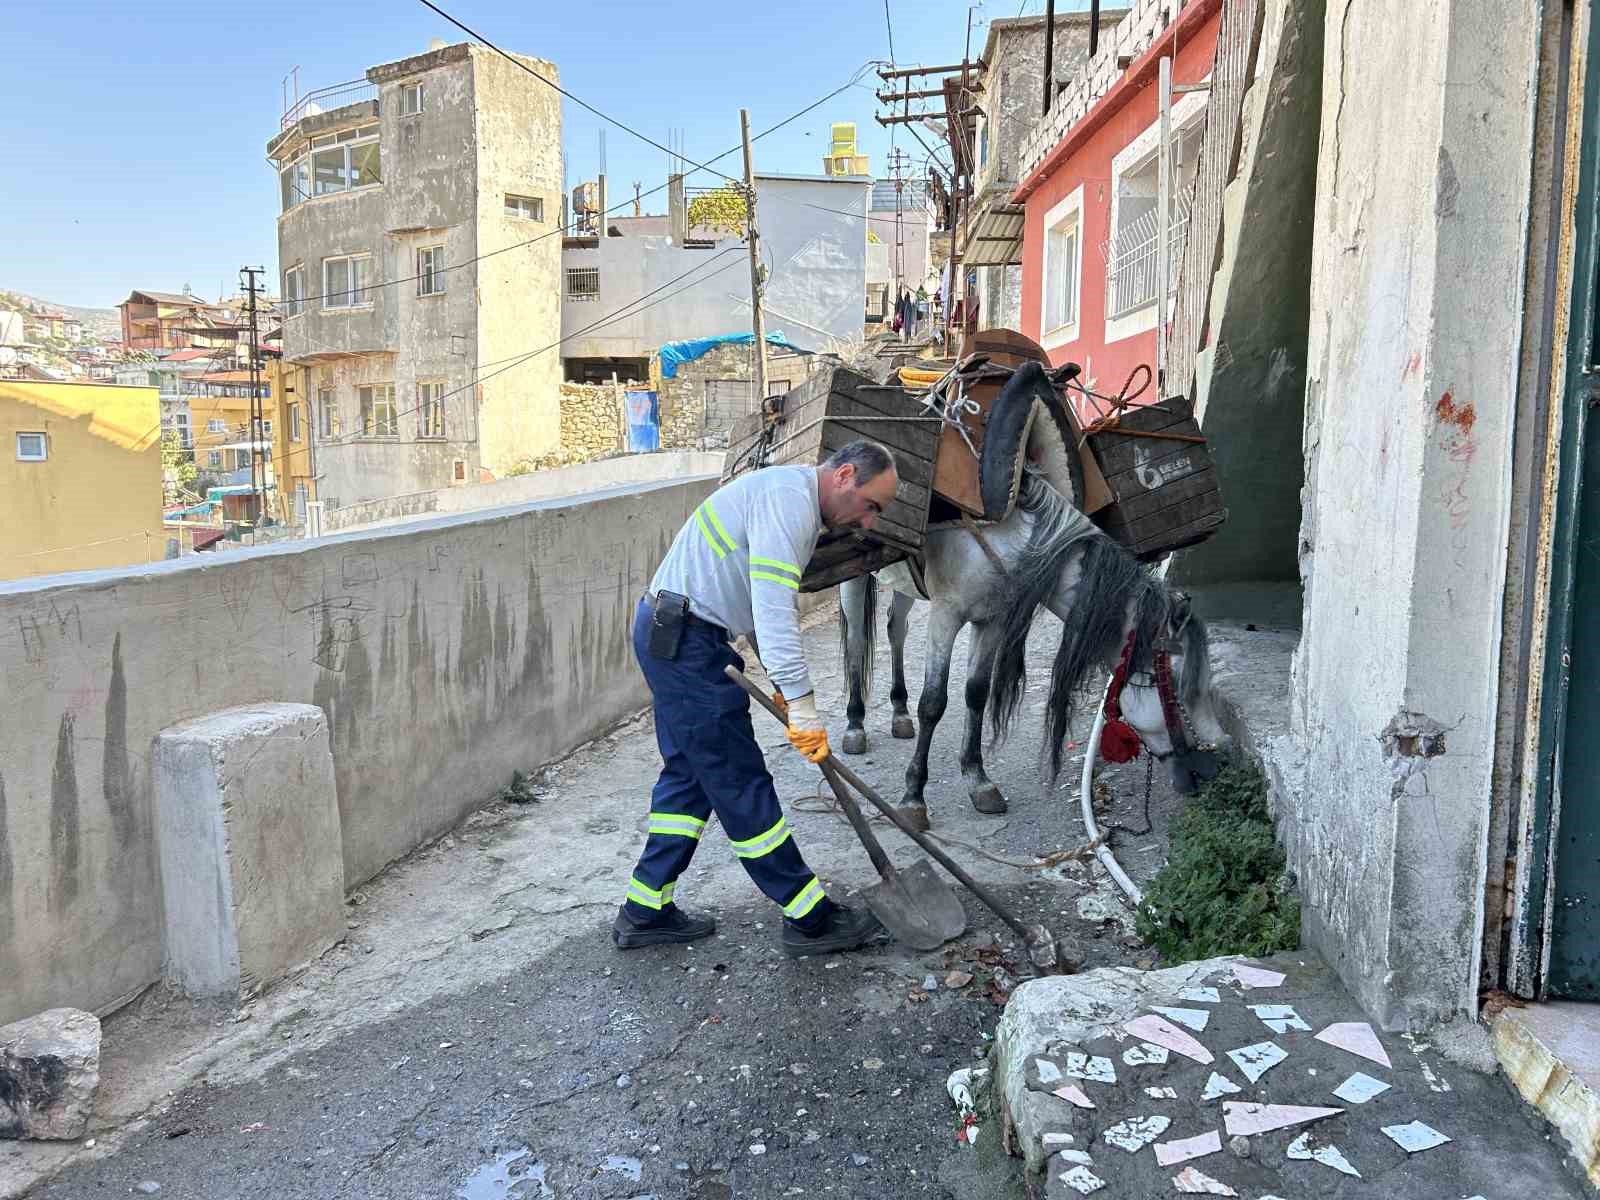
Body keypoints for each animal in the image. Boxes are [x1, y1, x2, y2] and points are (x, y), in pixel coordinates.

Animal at [838, 361, 1222, 832]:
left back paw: (898, 712)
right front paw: (914, 796)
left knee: (896, 629)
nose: (1202, 774)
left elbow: (975, 693)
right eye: (1175, 691)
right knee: (858, 640)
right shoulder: (947, 616)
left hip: (906, 585)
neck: (1010, 531)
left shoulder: (993, 621)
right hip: (856, 579)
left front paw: (978, 779)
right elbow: (935, 702)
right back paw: (855, 724)